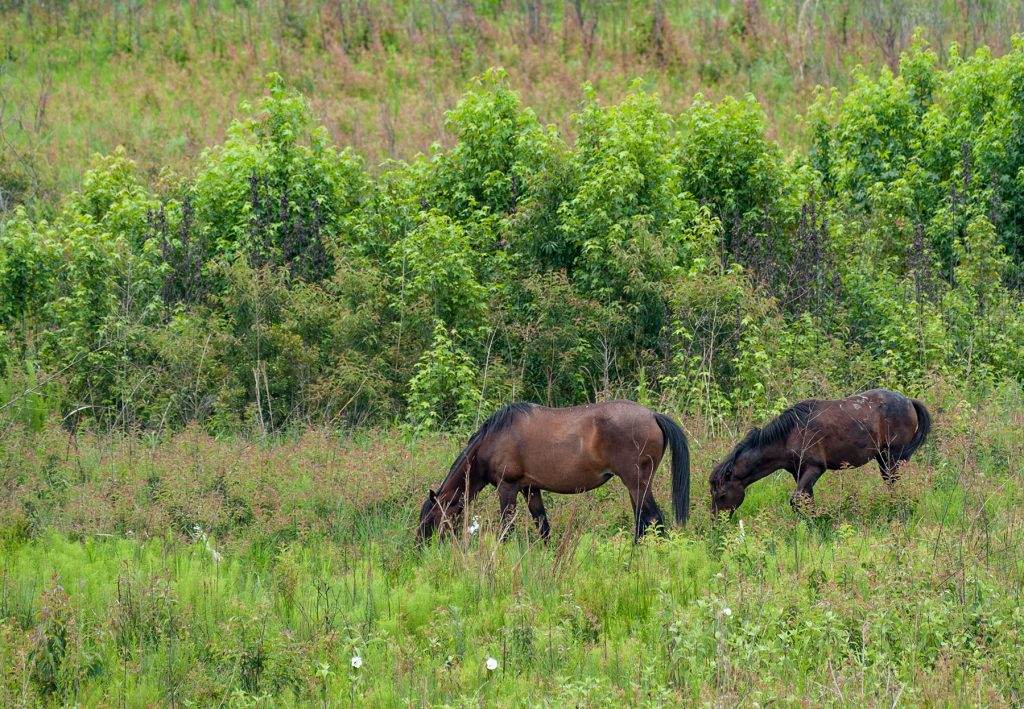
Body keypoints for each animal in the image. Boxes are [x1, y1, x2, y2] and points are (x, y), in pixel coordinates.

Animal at [413, 401, 688, 540]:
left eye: (431, 518)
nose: (420, 547)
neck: (492, 440)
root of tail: (653, 415)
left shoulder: (507, 488)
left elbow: (506, 528)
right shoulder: (530, 489)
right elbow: (542, 526)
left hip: (637, 484)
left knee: (653, 519)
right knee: (644, 522)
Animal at [712, 387, 929, 514]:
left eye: (721, 495)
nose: (716, 523)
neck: (789, 435)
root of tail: (908, 401)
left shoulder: (815, 468)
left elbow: (797, 500)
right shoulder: (798, 472)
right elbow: (806, 499)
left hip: (892, 456)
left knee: (893, 482)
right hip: (882, 458)